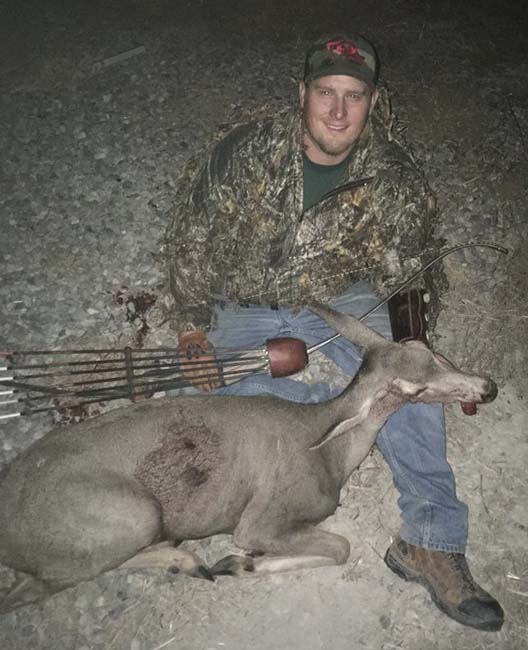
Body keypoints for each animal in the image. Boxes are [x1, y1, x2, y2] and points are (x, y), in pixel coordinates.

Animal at [0, 302, 497, 613]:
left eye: (430, 350)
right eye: (416, 388)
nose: (487, 387)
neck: (332, 454)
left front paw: (238, 563)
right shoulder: (262, 518)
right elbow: (340, 546)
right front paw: (240, 562)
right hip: (130, 514)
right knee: (35, 587)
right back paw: (188, 561)